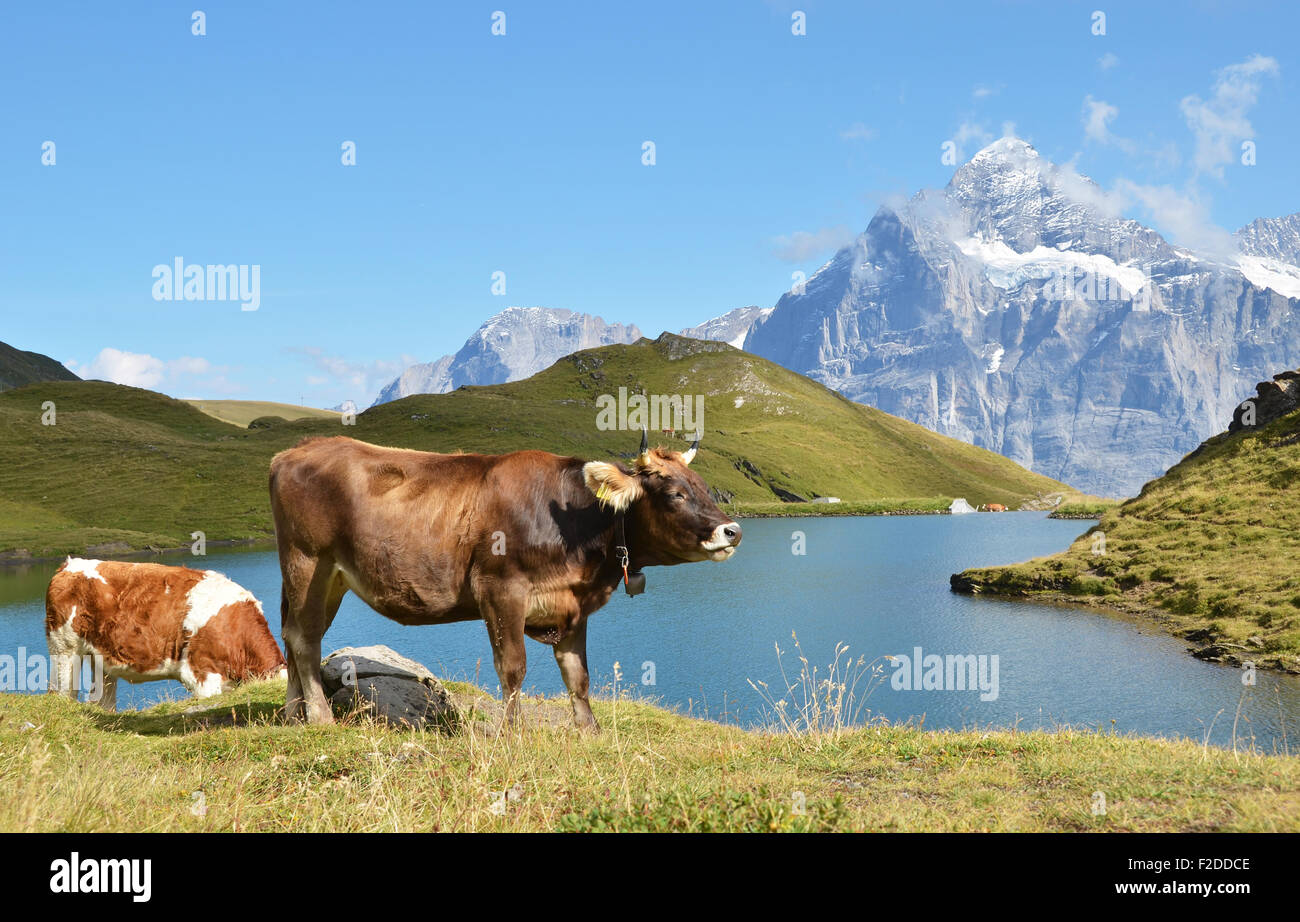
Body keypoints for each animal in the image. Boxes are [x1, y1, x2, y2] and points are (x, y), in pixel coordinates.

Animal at [45, 558, 286, 711]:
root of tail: (69, 565)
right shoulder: (202, 674)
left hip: (100, 658)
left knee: (102, 701)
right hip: (63, 647)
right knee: (62, 691)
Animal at [269, 431, 742, 731]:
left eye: (704, 488)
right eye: (675, 494)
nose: (733, 531)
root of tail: (294, 451)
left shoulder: (571, 605)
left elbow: (578, 674)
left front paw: (589, 730)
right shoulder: (500, 590)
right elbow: (513, 668)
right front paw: (513, 733)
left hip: (327, 578)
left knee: (293, 634)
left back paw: (293, 714)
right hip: (308, 561)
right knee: (304, 639)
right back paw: (320, 717)